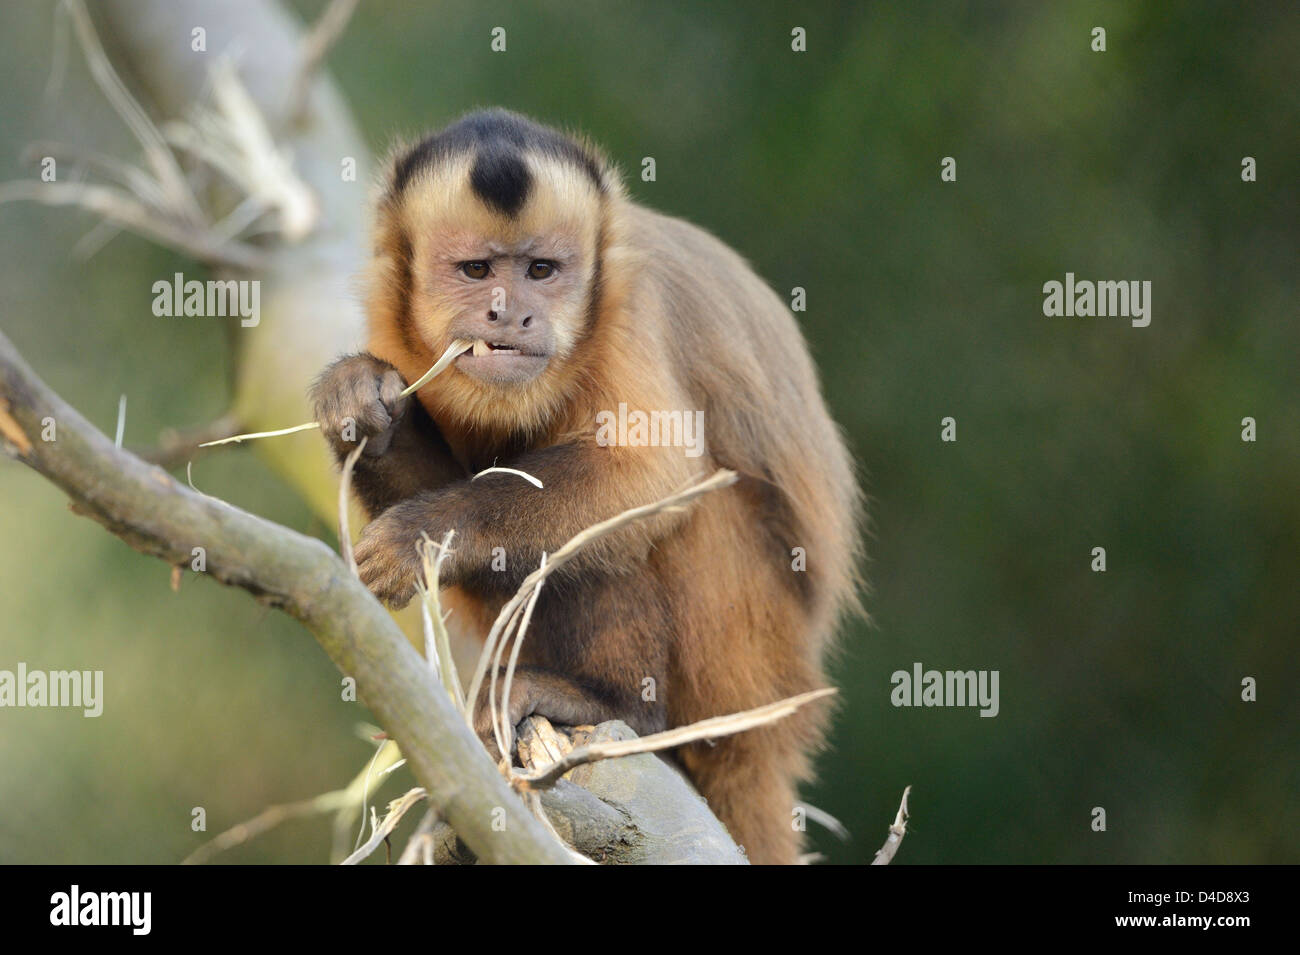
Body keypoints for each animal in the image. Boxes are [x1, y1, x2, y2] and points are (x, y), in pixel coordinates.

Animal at [310, 108, 863, 862]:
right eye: (476, 270)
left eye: (542, 271)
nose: (510, 314)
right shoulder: (392, 322)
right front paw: (360, 399)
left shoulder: (631, 308)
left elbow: (651, 475)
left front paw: (419, 533)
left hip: (749, 665)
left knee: (653, 524)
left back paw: (615, 702)